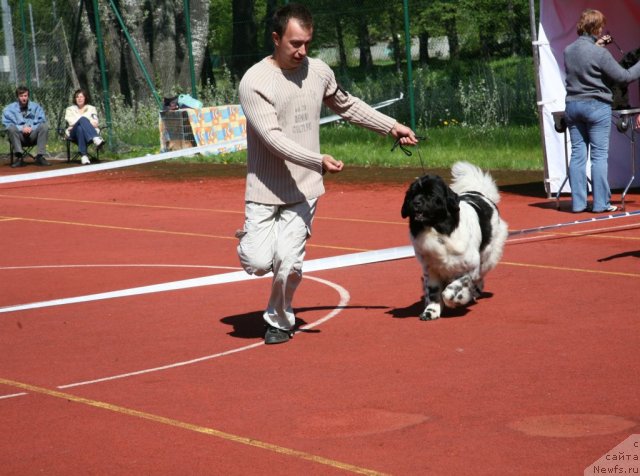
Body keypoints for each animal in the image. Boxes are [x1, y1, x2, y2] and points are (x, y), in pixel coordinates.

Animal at [402, 162, 508, 322]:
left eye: (431, 194)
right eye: (413, 194)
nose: (415, 202)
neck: (438, 231)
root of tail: (480, 193)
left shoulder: (470, 266)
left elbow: (450, 290)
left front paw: (458, 299)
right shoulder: (430, 269)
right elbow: (433, 292)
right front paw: (431, 311)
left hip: (488, 257)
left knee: (480, 277)